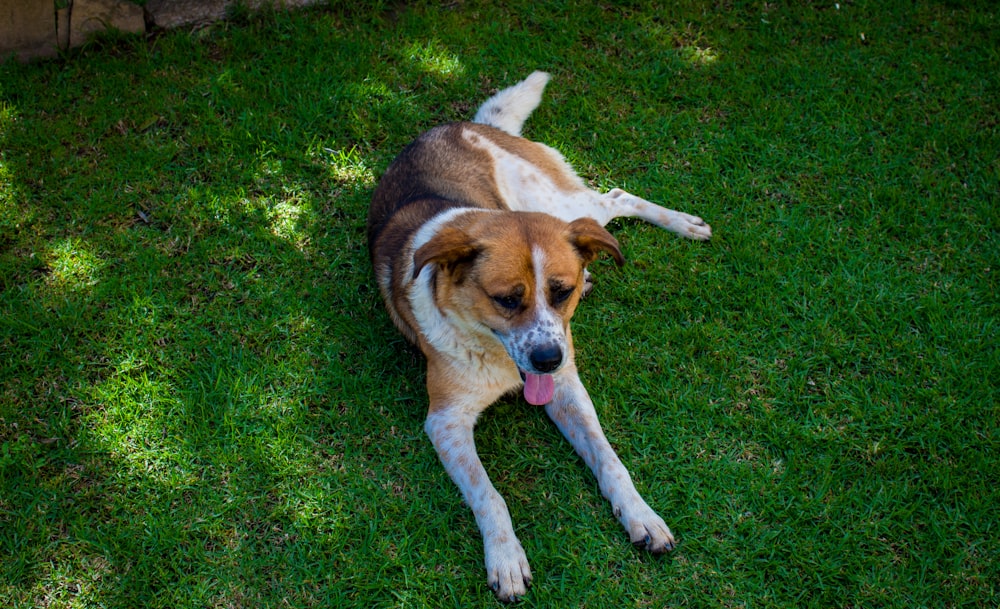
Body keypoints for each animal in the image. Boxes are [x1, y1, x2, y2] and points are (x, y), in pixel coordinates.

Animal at [370, 71, 712, 600]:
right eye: (507, 299)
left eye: (560, 291)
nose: (550, 358)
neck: (494, 354)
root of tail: (470, 125)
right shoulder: (445, 422)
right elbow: (489, 495)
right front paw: (506, 558)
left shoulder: (568, 387)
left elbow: (610, 459)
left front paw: (641, 516)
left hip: (555, 203)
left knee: (614, 198)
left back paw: (684, 224)